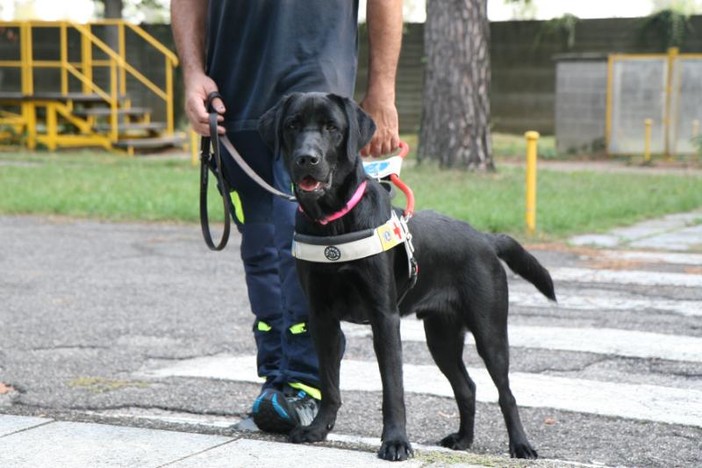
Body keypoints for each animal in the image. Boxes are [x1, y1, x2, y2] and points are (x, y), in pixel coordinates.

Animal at [258, 91, 556, 460]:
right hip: (441, 336)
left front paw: (396, 441)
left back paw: (521, 445)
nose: (306, 159)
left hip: (490, 331)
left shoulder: (384, 317)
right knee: (467, 386)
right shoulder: (322, 317)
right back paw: (463, 439)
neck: (334, 221)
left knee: (506, 392)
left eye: (332, 127)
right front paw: (318, 429)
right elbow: (329, 382)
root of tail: (486, 239)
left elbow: (393, 388)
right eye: (292, 125)